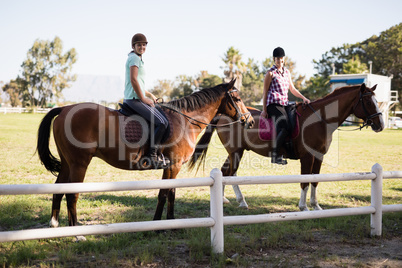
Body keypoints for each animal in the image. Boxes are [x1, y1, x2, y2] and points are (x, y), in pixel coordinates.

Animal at [36, 79, 253, 228]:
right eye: (238, 98)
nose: (249, 120)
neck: (185, 120)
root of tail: (64, 109)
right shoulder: (173, 165)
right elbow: (164, 194)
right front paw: (158, 225)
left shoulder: (173, 167)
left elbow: (171, 193)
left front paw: (172, 224)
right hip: (79, 163)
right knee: (72, 194)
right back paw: (77, 233)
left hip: (68, 162)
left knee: (58, 188)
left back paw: (55, 225)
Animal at [190, 82, 384, 210]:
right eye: (368, 102)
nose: (380, 125)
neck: (320, 119)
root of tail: (223, 115)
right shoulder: (307, 157)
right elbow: (305, 181)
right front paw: (303, 207)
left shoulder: (319, 156)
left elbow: (315, 180)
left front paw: (316, 206)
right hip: (236, 152)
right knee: (231, 173)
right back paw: (242, 201)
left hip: (235, 151)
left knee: (224, 172)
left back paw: (223, 200)